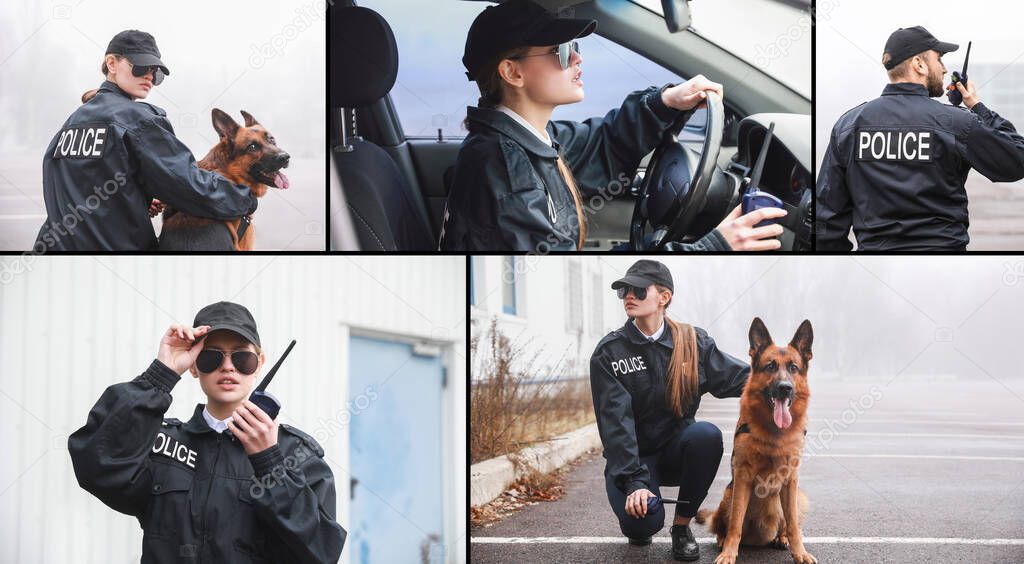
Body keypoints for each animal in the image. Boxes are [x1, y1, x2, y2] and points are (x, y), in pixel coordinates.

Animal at [696, 317, 815, 564]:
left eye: (793, 368)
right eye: (770, 366)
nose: (784, 388)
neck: (774, 434)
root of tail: (759, 538)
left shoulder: (791, 481)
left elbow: (794, 526)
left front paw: (799, 552)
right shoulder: (743, 478)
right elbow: (735, 524)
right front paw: (729, 553)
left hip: (799, 497)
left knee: (787, 524)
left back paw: (781, 538)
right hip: (728, 496)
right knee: (723, 525)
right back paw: (722, 541)